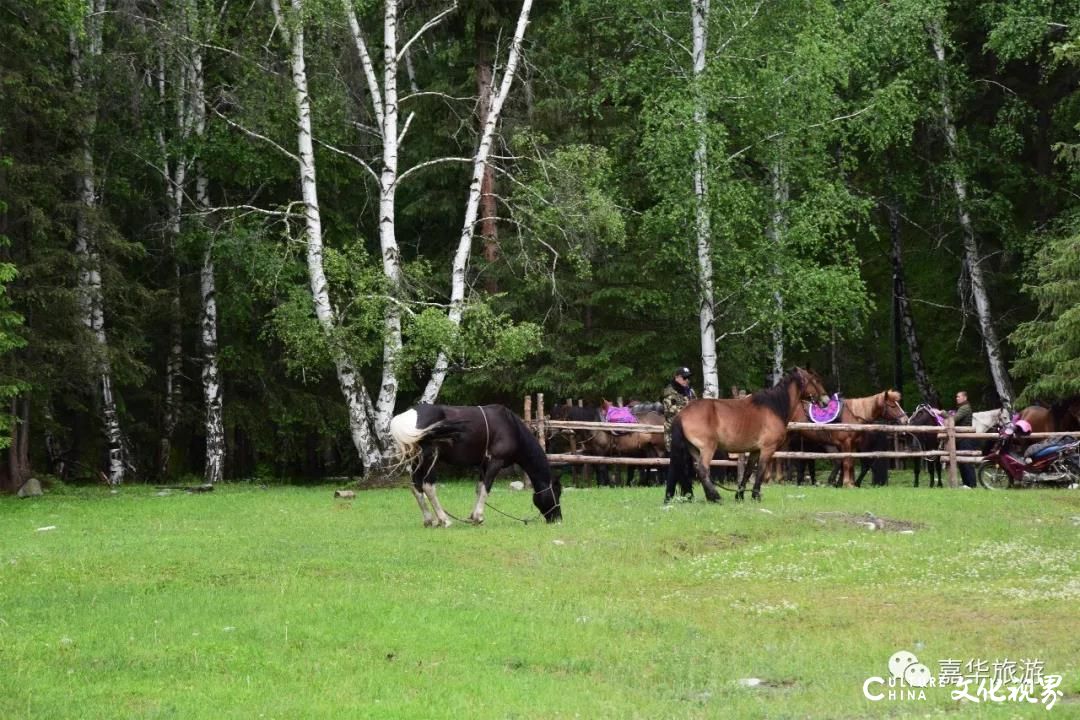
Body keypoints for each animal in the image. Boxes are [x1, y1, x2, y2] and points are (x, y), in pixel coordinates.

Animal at [388, 405, 561, 528]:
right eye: (557, 493)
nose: (558, 519)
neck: (511, 427)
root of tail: (406, 418)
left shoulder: (483, 465)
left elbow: (479, 488)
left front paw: (472, 517)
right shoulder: (495, 462)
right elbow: (486, 488)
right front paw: (478, 517)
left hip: (415, 461)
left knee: (416, 488)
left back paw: (429, 520)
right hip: (430, 459)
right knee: (427, 486)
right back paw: (444, 520)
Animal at [665, 367, 825, 500]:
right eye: (816, 380)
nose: (825, 399)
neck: (774, 407)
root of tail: (682, 414)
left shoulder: (755, 451)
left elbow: (748, 472)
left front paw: (740, 495)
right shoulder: (767, 449)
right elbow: (760, 471)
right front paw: (755, 495)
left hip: (693, 449)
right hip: (707, 448)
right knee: (703, 470)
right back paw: (715, 497)